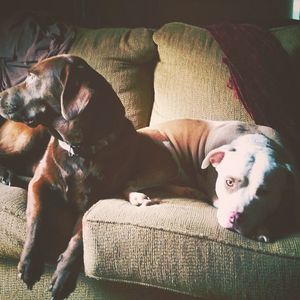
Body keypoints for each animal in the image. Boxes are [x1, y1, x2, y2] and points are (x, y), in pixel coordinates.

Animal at [0, 55, 139, 298]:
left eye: (33, 77)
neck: (77, 148)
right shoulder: (39, 183)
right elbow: (37, 220)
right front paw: (29, 263)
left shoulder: (96, 201)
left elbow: (79, 238)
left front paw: (63, 274)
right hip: (29, 137)